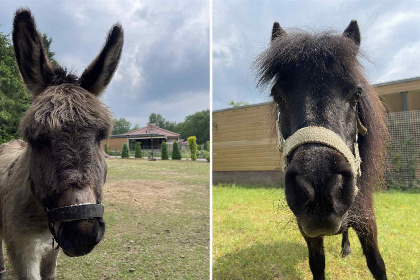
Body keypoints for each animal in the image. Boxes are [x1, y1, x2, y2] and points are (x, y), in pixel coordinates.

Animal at [254, 21, 388, 280]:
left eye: (357, 94)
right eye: (277, 96)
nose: (319, 185)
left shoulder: (368, 221)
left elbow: (377, 264)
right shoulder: (307, 230)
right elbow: (317, 264)